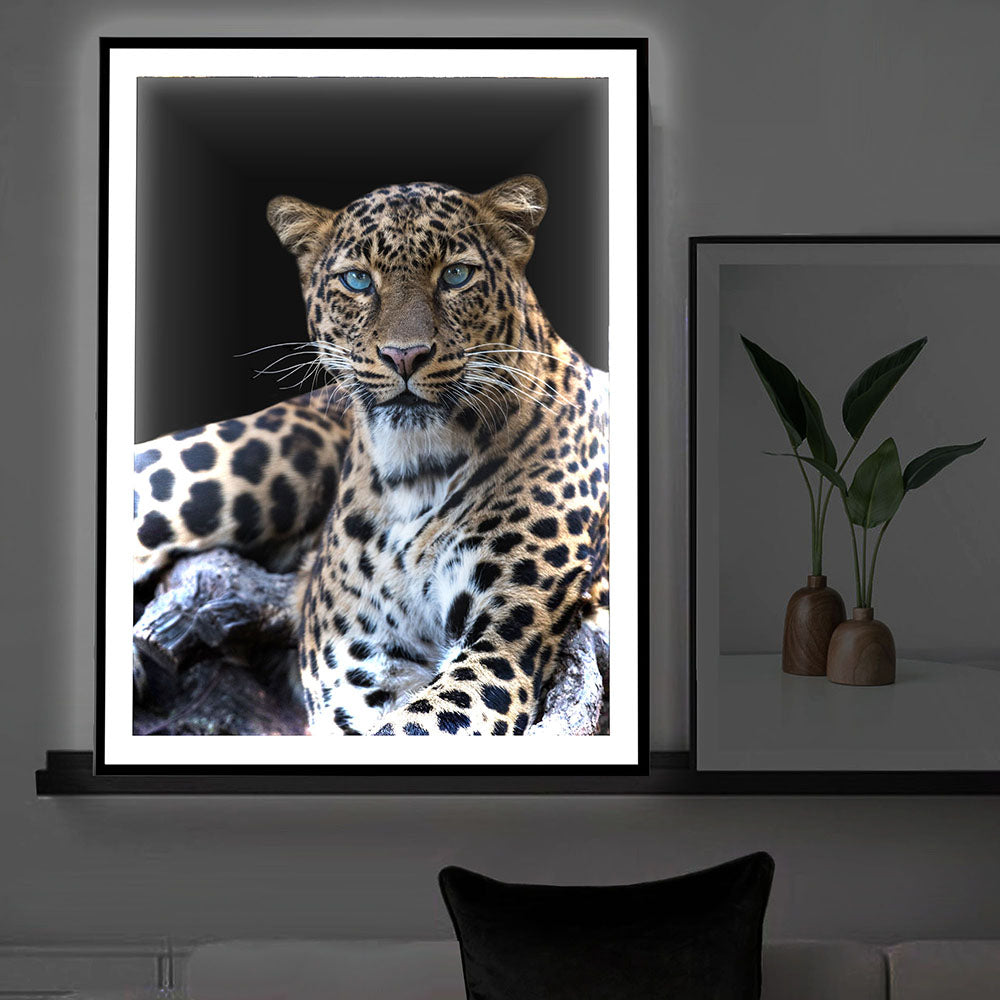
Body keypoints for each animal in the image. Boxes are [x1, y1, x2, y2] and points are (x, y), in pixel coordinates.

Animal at [132, 175, 610, 736]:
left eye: (456, 275)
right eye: (358, 281)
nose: (405, 355)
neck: (417, 474)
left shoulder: (501, 651)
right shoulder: (356, 671)